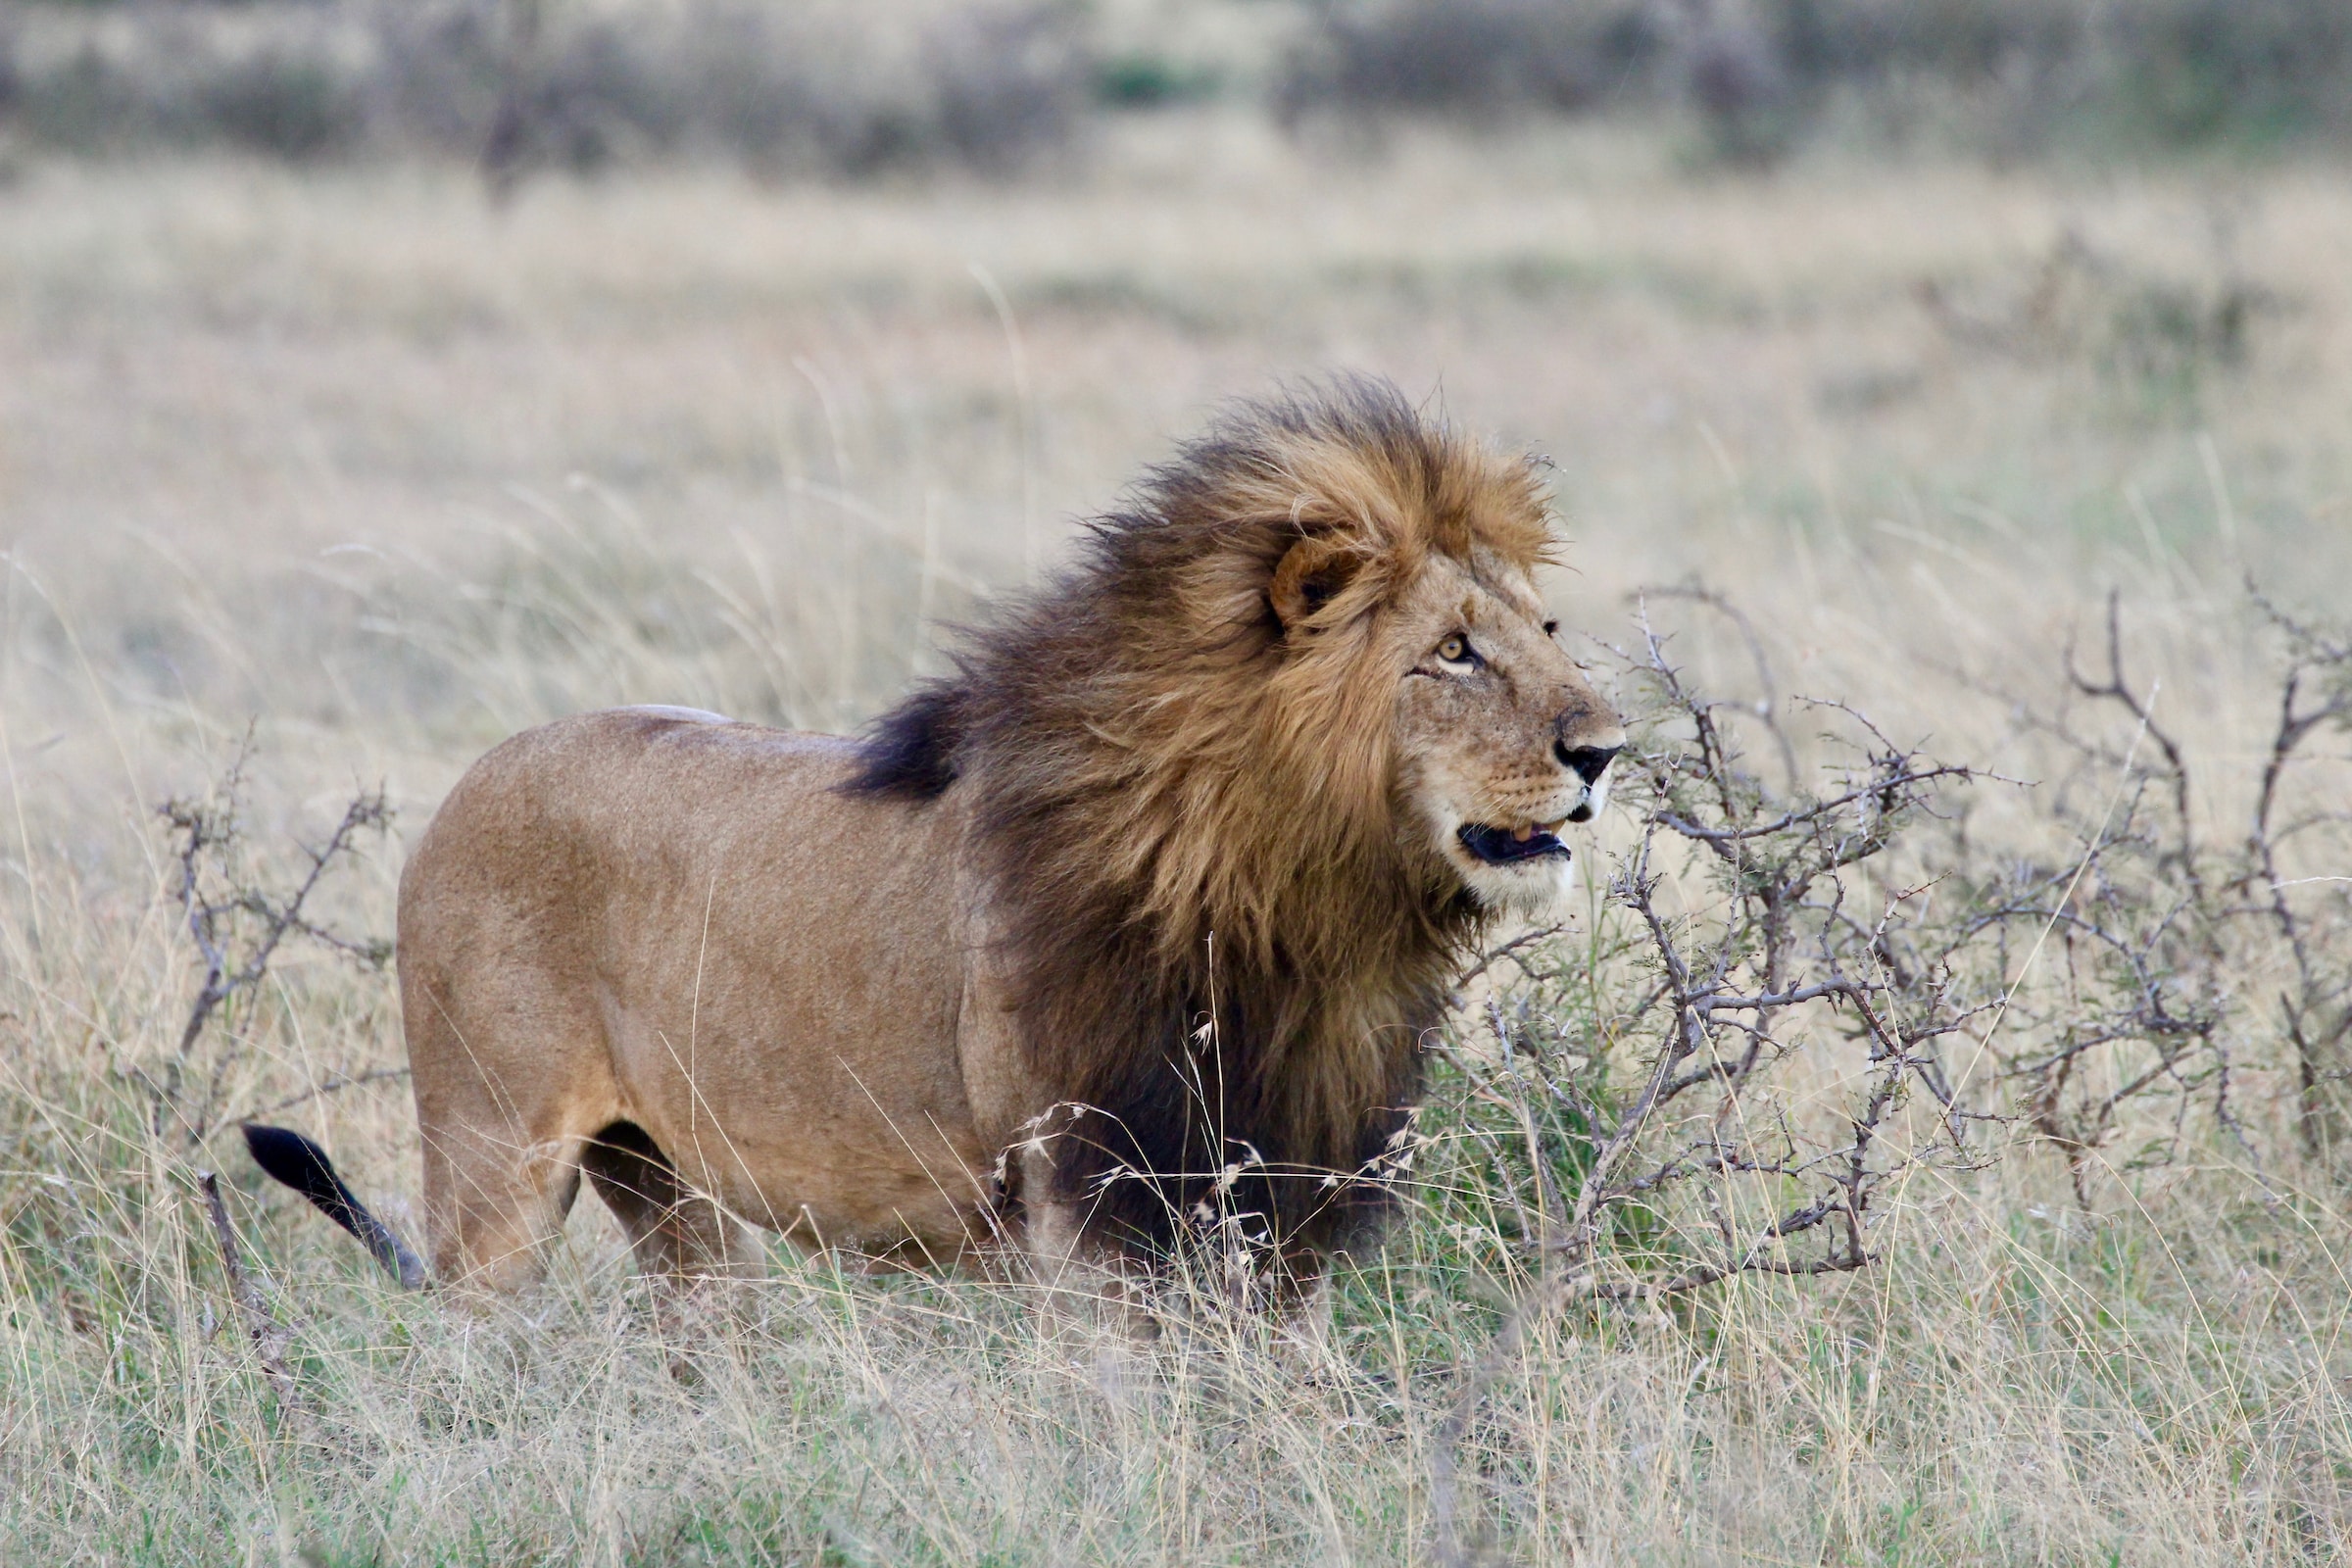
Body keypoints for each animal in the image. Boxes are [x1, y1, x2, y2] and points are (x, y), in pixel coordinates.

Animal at [248, 377, 1625, 1301]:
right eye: (1453, 651)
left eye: (1548, 628)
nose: (1606, 748)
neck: (1301, 914)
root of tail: (466, 780)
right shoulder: (1092, 1204)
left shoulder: (1287, 1205)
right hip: (496, 1169)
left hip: (672, 1191)